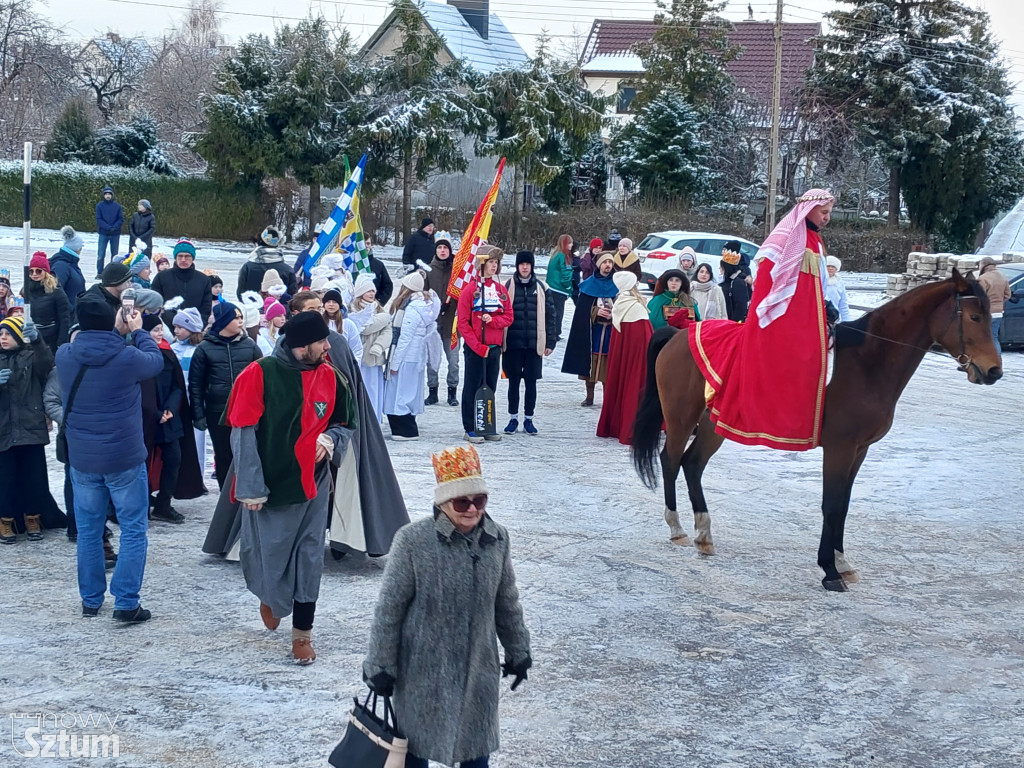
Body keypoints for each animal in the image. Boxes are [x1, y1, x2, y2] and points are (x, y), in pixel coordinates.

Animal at [630, 270, 999, 593]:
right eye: (974, 317)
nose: (994, 371)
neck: (866, 363)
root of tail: (679, 334)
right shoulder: (839, 448)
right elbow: (831, 505)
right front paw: (830, 570)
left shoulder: (859, 450)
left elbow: (844, 505)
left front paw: (842, 562)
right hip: (681, 417)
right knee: (670, 459)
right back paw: (677, 528)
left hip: (714, 423)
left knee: (692, 464)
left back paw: (704, 534)